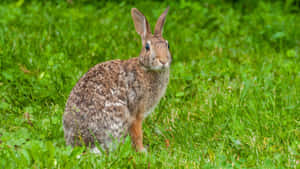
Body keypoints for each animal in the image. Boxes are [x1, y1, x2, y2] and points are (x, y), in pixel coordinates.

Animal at [63, 6, 171, 153]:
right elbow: (137, 134)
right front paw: (142, 151)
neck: (146, 68)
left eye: (168, 45)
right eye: (147, 47)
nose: (164, 61)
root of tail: (83, 142)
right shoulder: (136, 113)